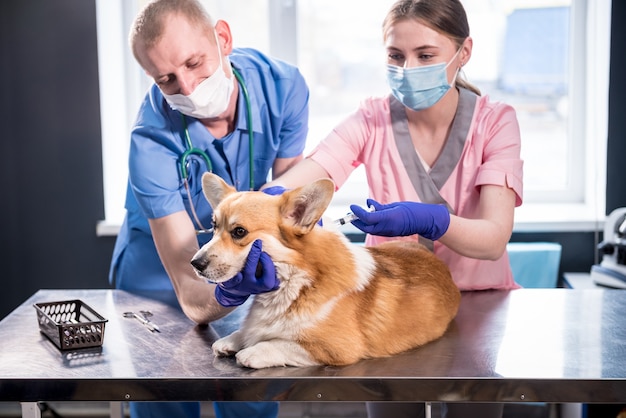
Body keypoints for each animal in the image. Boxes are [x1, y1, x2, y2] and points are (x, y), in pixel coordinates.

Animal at [190, 173, 458, 370]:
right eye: (213, 227)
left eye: (239, 232)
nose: (195, 263)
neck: (297, 281)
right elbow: (249, 331)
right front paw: (235, 339)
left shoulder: (335, 348)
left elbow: (280, 343)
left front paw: (252, 351)